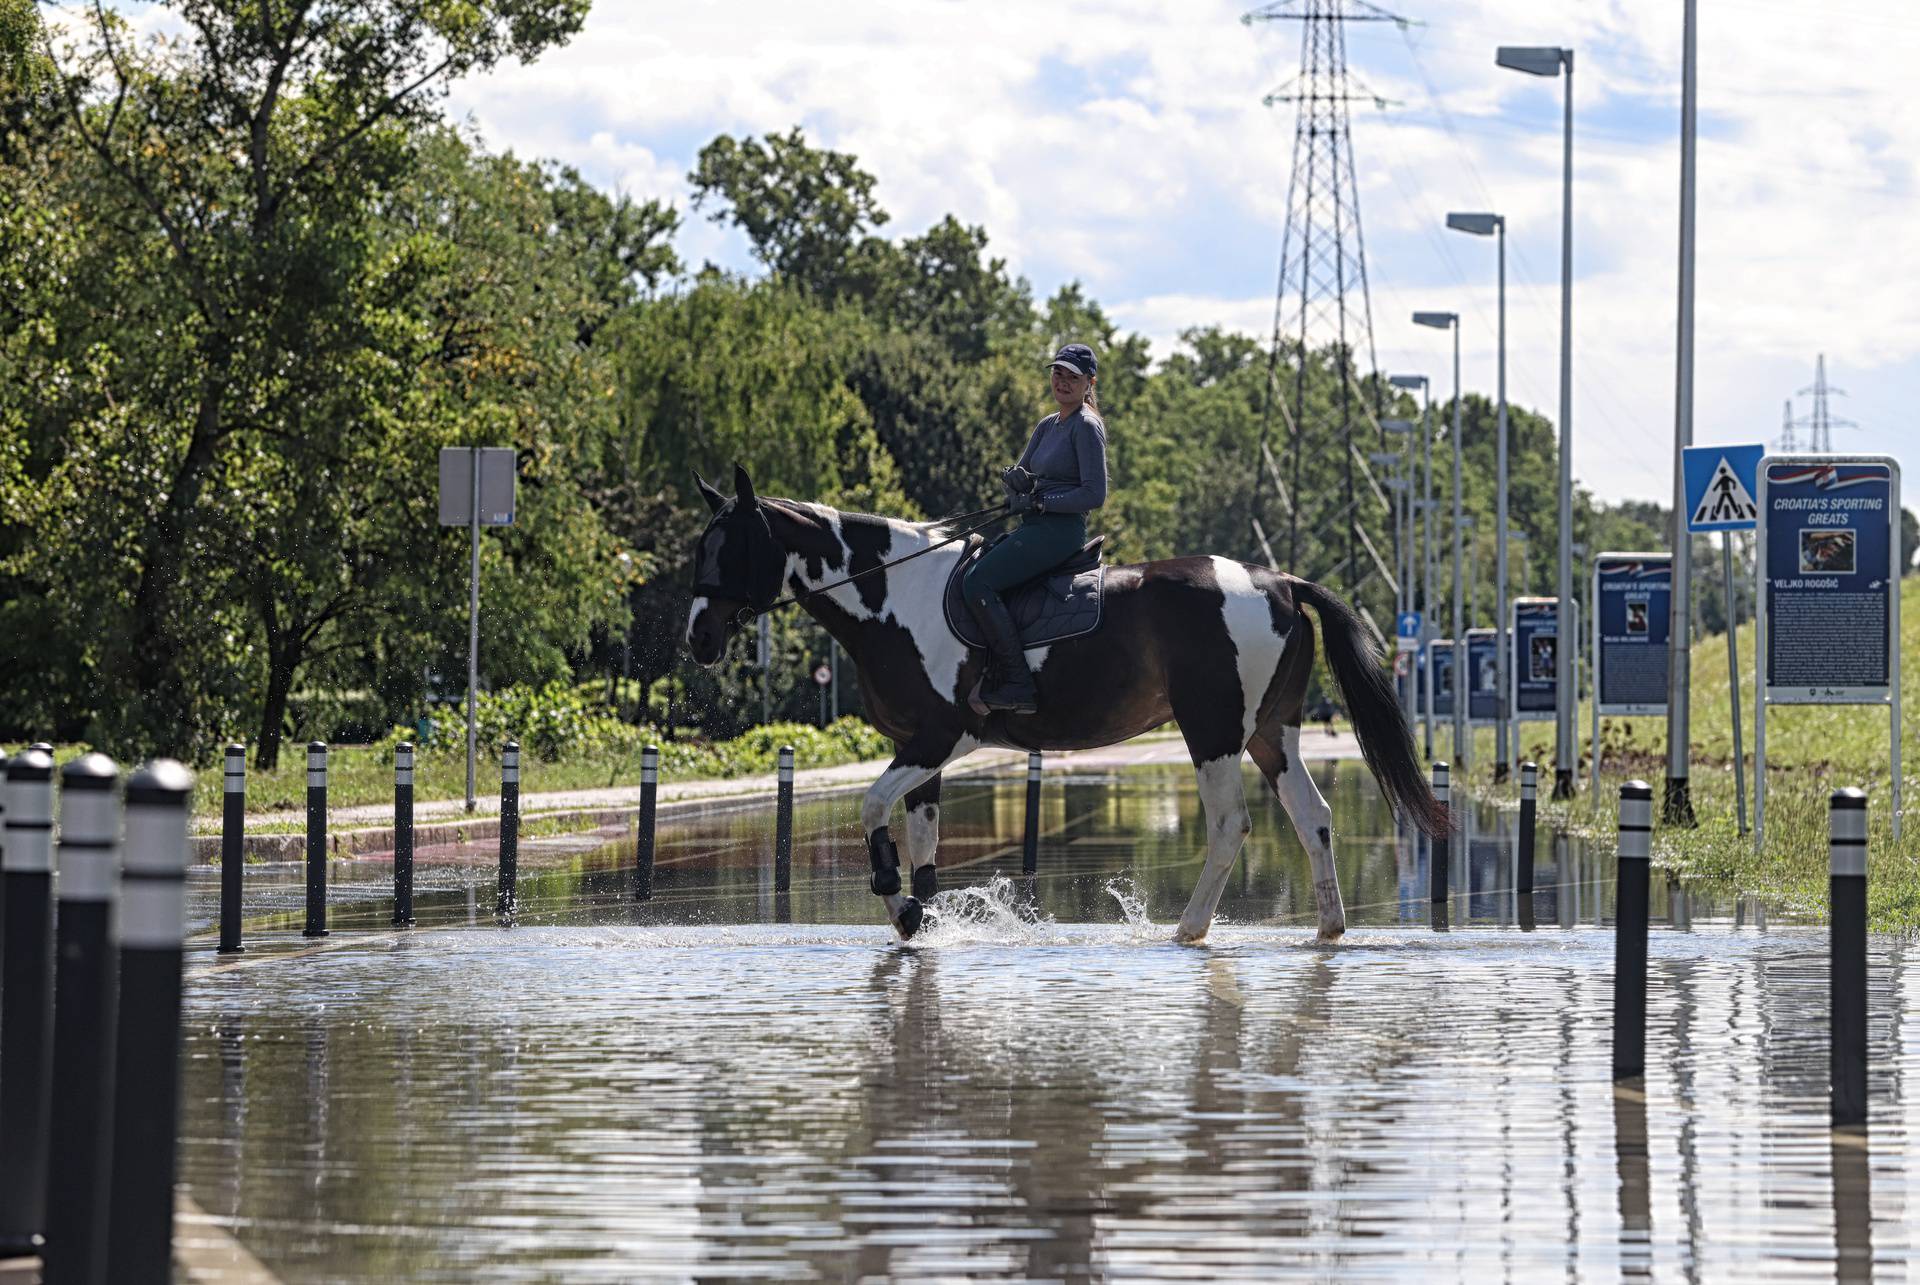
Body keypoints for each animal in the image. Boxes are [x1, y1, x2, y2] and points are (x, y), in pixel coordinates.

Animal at [683, 466, 1443, 937]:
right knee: (1313, 819)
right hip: (1272, 733)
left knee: (1231, 826)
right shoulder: (917, 748)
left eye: (732, 545)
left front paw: (898, 899)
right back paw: (1329, 927)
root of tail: (1280, 580)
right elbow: (922, 833)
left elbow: (870, 806)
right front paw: (917, 907)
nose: (699, 637)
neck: (896, 596)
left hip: (1213, 731)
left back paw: (1189, 929)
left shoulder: (939, 736)